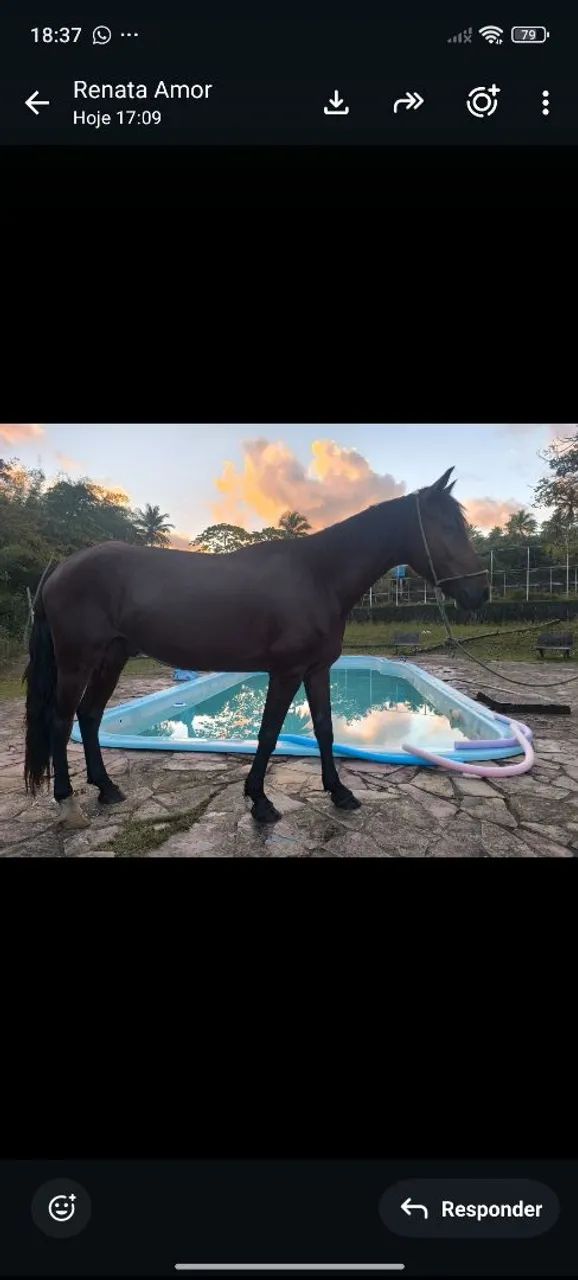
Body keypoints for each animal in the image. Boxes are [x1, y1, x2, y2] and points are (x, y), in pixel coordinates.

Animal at [23, 467, 488, 830]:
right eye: (448, 527)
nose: (480, 593)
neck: (318, 575)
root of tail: (60, 569)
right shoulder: (286, 672)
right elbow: (268, 733)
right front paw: (260, 802)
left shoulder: (317, 670)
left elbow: (324, 729)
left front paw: (339, 792)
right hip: (77, 662)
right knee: (60, 721)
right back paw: (67, 802)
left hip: (112, 658)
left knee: (89, 716)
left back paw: (107, 789)